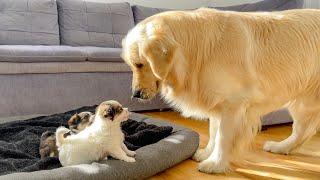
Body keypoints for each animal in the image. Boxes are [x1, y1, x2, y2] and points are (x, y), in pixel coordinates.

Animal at [123, 7, 320, 174]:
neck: (198, 50)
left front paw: (215, 164)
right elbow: (213, 131)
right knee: (301, 131)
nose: (135, 94)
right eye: (132, 66)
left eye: (139, 64)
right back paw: (281, 147)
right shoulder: (217, 102)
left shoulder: (232, 104)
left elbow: (223, 137)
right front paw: (206, 153)